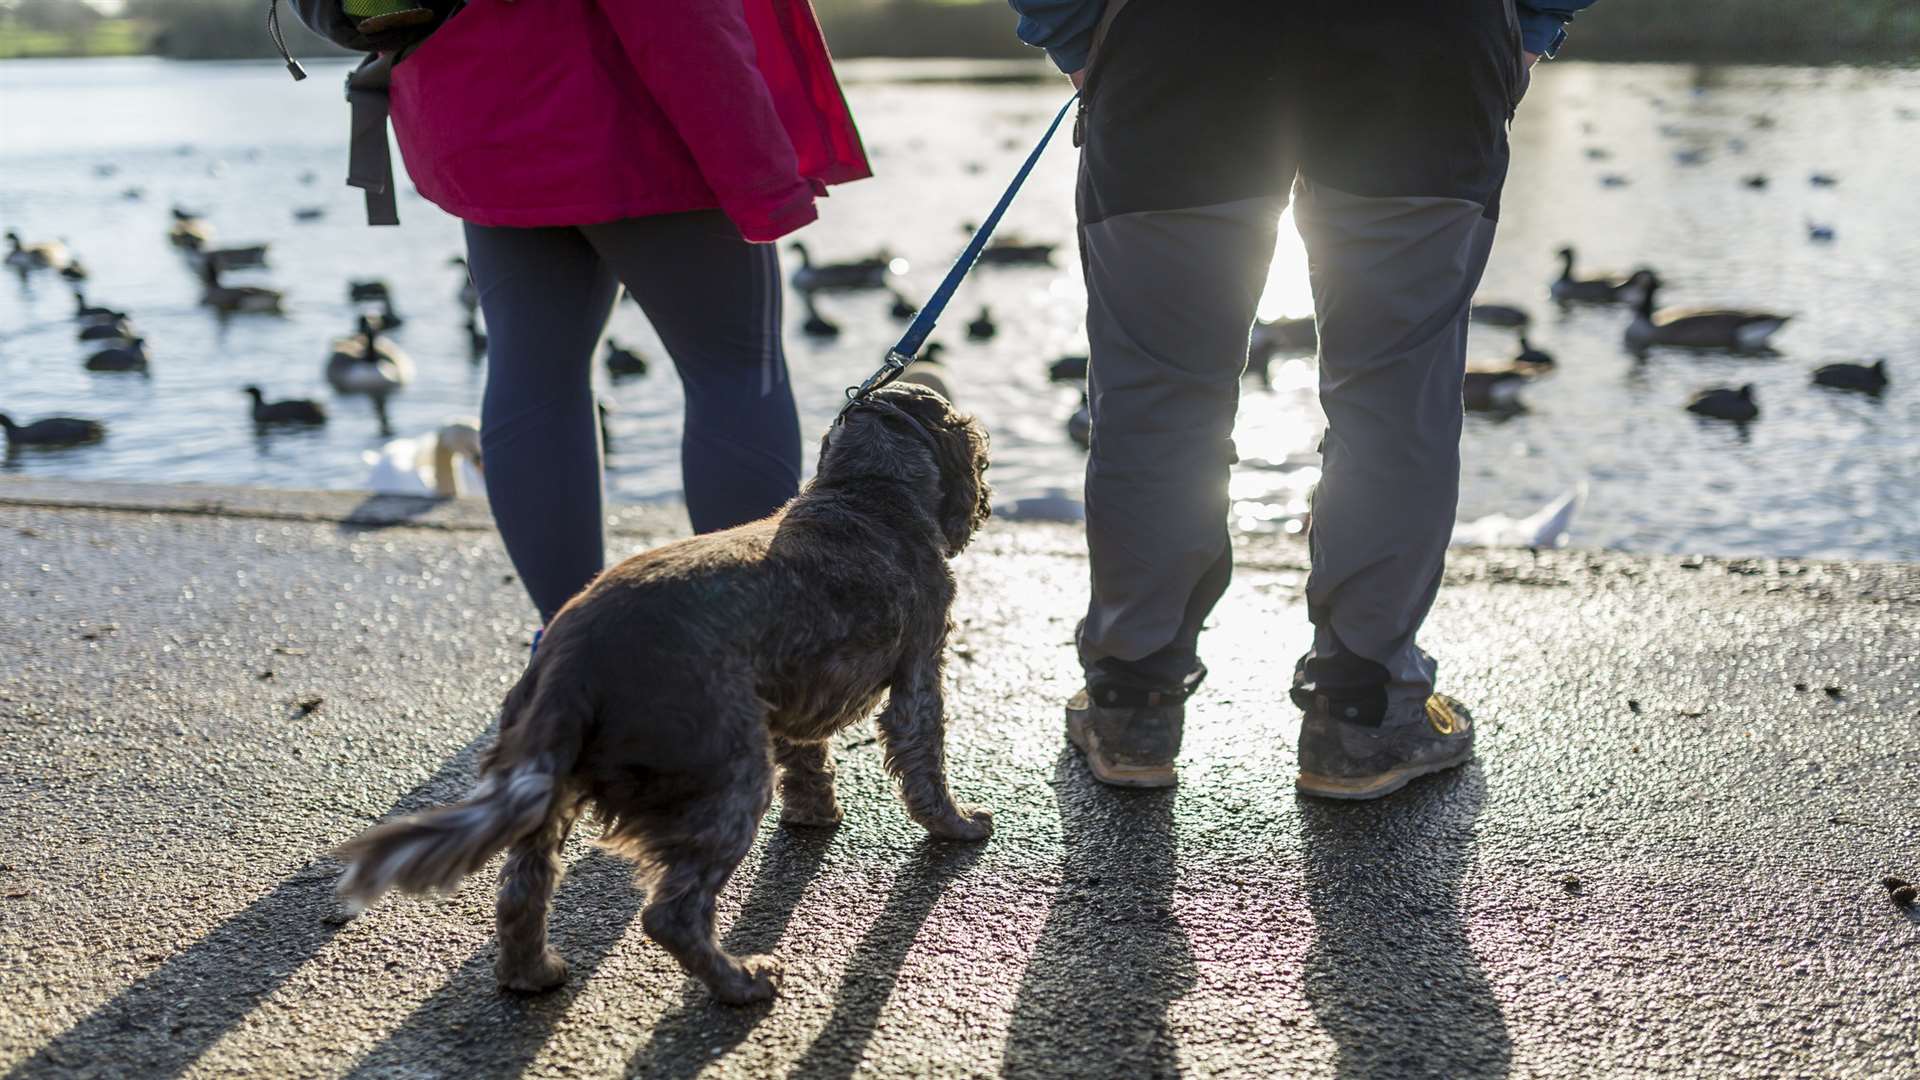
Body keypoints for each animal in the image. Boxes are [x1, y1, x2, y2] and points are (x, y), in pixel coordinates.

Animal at [336, 378, 990, 999]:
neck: (865, 492)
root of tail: (575, 656)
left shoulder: (795, 694)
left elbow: (810, 763)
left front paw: (816, 817)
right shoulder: (919, 673)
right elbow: (926, 765)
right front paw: (957, 827)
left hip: (553, 784)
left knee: (523, 889)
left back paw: (533, 974)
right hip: (729, 776)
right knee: (672, 912)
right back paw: (742, 982)